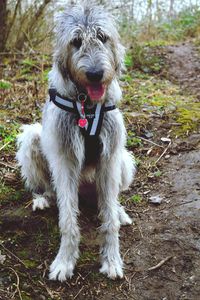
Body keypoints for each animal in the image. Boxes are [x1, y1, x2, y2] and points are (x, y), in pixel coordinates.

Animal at [16, 2, 136, 282]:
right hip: (32, 139)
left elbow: (109, 220)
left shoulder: (110, 157)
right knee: (49, 188)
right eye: (76, 41)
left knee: (110, 199)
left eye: (102, 37)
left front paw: (112, 259)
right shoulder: (65, 160)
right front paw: (65, 261)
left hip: (123, 160)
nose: (95, 74)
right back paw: (42, 198)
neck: (87, 105)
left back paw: (119, 210)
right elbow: (68, 220)